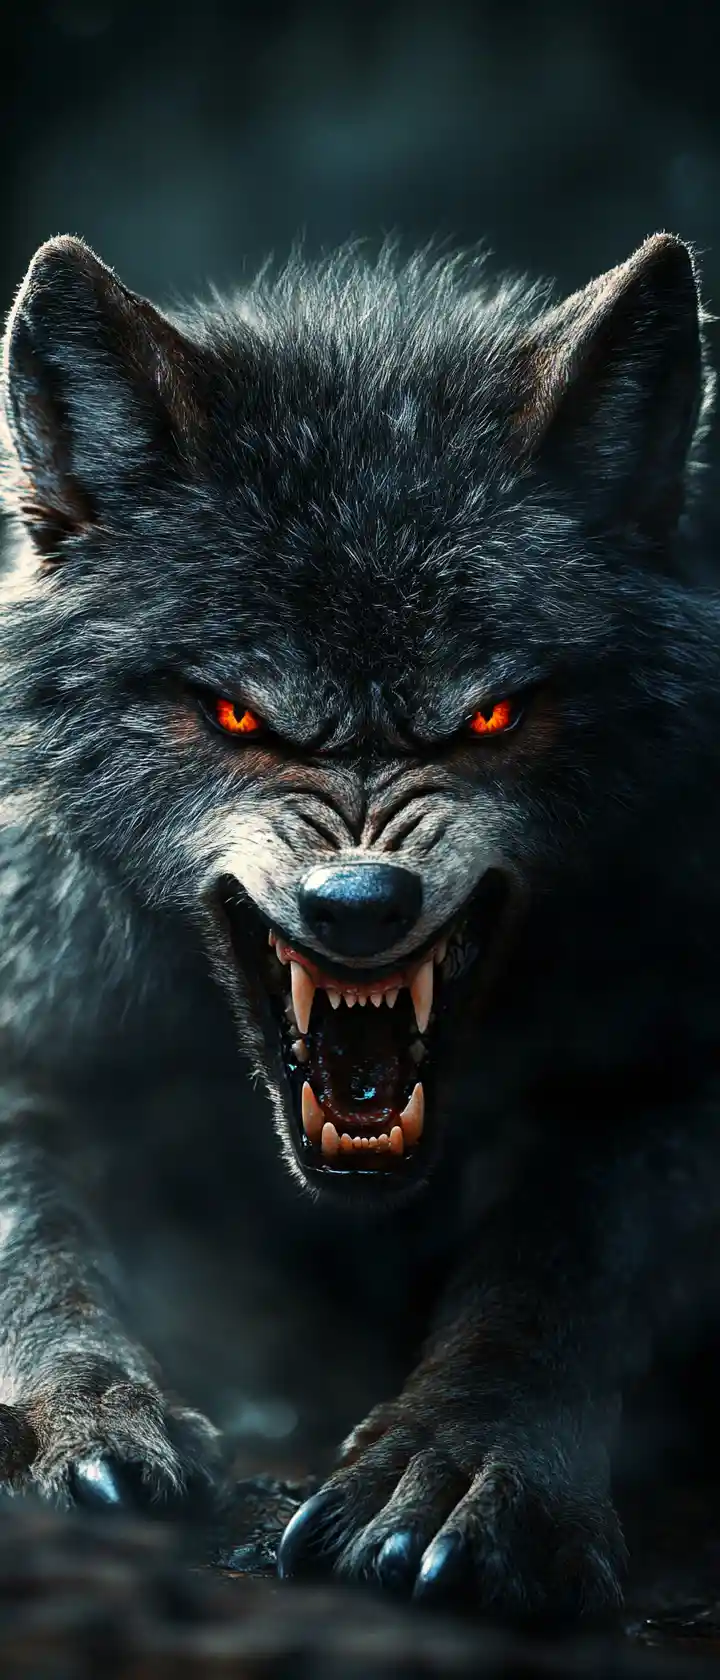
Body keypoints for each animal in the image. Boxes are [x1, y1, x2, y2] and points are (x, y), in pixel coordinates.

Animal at [0, 227, 717, 1617]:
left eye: (490, 717)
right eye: (238, 715)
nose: (361, 903)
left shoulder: (672, 1057)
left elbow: (565, 1261)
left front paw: (469, 1470)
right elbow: (35, 1239)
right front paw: (83, 1412)